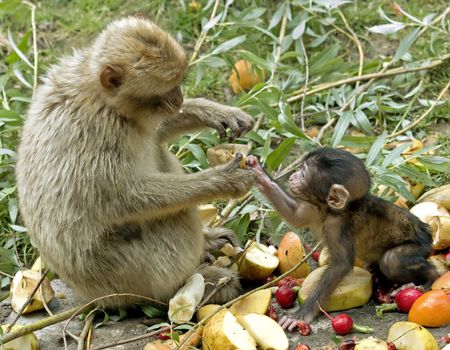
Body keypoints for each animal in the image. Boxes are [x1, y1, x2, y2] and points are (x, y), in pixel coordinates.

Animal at [15, 16, 255, 306]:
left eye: (179, 83)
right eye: (166, 89)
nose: (179, 99)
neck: (103, 99)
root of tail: (92, 295)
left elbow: (155, 131)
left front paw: (215, 112)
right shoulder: (98, 133)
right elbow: (123, 198)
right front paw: (223, 180)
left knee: (156, 147)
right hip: (125, 276)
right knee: (175, 215)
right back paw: (192, 285)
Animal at [248, 147, 438, 328]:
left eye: (303, 173)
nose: (293, 176)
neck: (333, 210)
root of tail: (427, 233)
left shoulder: (337, 227)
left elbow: (341, 265)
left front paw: (301, 314)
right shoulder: (315, 208)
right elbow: (295, 216)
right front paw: (258, 172)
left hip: (419, 246)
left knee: (392, 260)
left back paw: (429, 278)